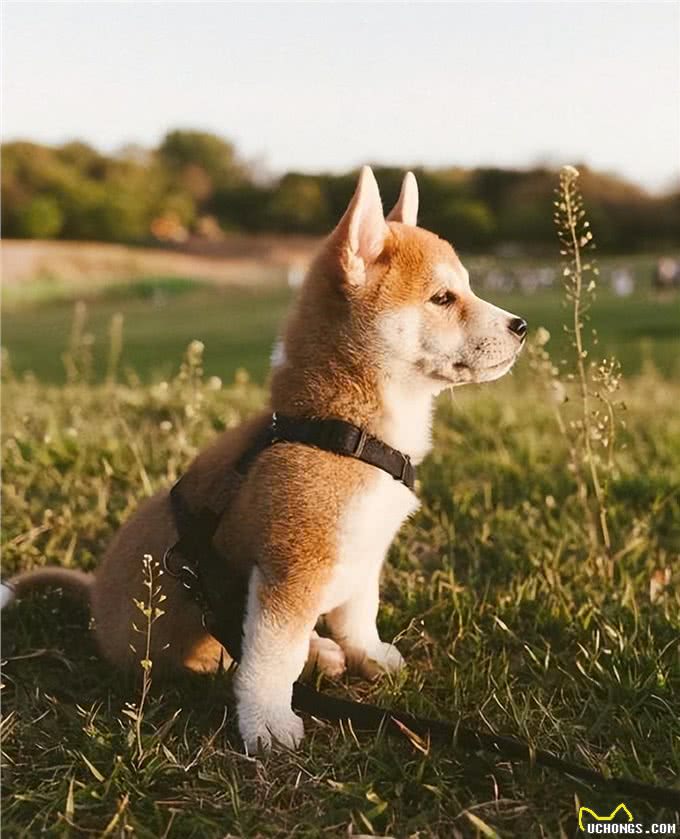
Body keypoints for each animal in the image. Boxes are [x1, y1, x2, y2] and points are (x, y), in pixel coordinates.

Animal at [1, 167, 524, 752]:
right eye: (442, 297)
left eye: (467, 288)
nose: (521, 326)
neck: (342, 430)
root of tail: (93, 599)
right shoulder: (291, 572)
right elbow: (273, 658)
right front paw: (268, 722)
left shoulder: (364, 555)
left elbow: (359, 616)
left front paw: (369, 656)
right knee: (238, 655)